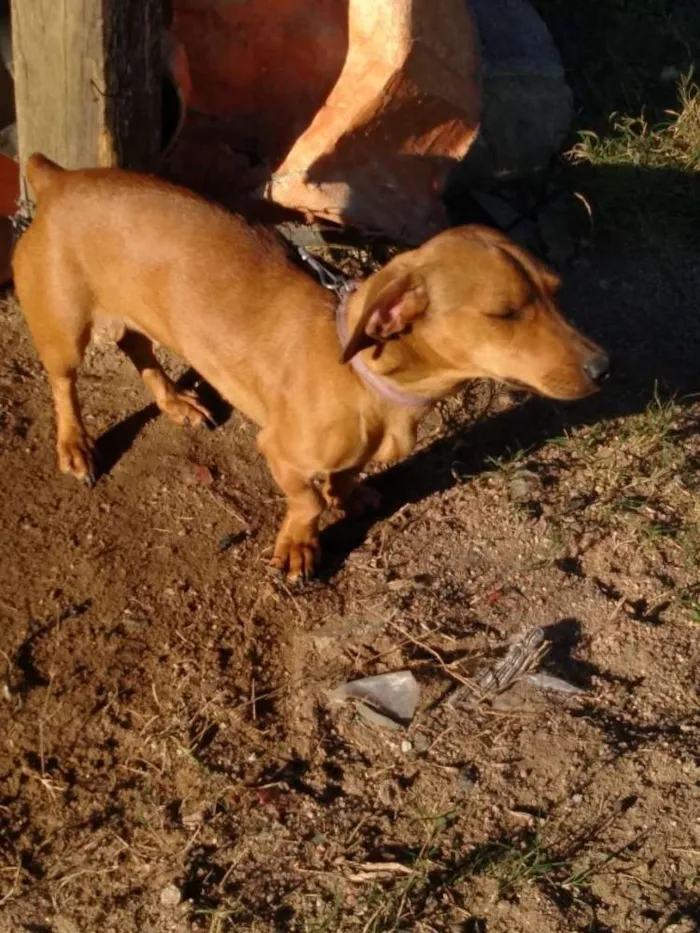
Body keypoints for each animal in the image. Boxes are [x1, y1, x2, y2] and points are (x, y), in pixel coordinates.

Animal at [13, 153, 608, 576]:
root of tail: (58, 179)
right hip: (64, 331)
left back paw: (174, 400)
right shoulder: (281, 454)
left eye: (555, 291)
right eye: (505, 314)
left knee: (135, 347)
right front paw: (299, 546)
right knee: (64, 384)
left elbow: (346, 477)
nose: (604, 368)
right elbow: (307, 503)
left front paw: (352, 494)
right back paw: (75, 446)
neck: (365, 380)